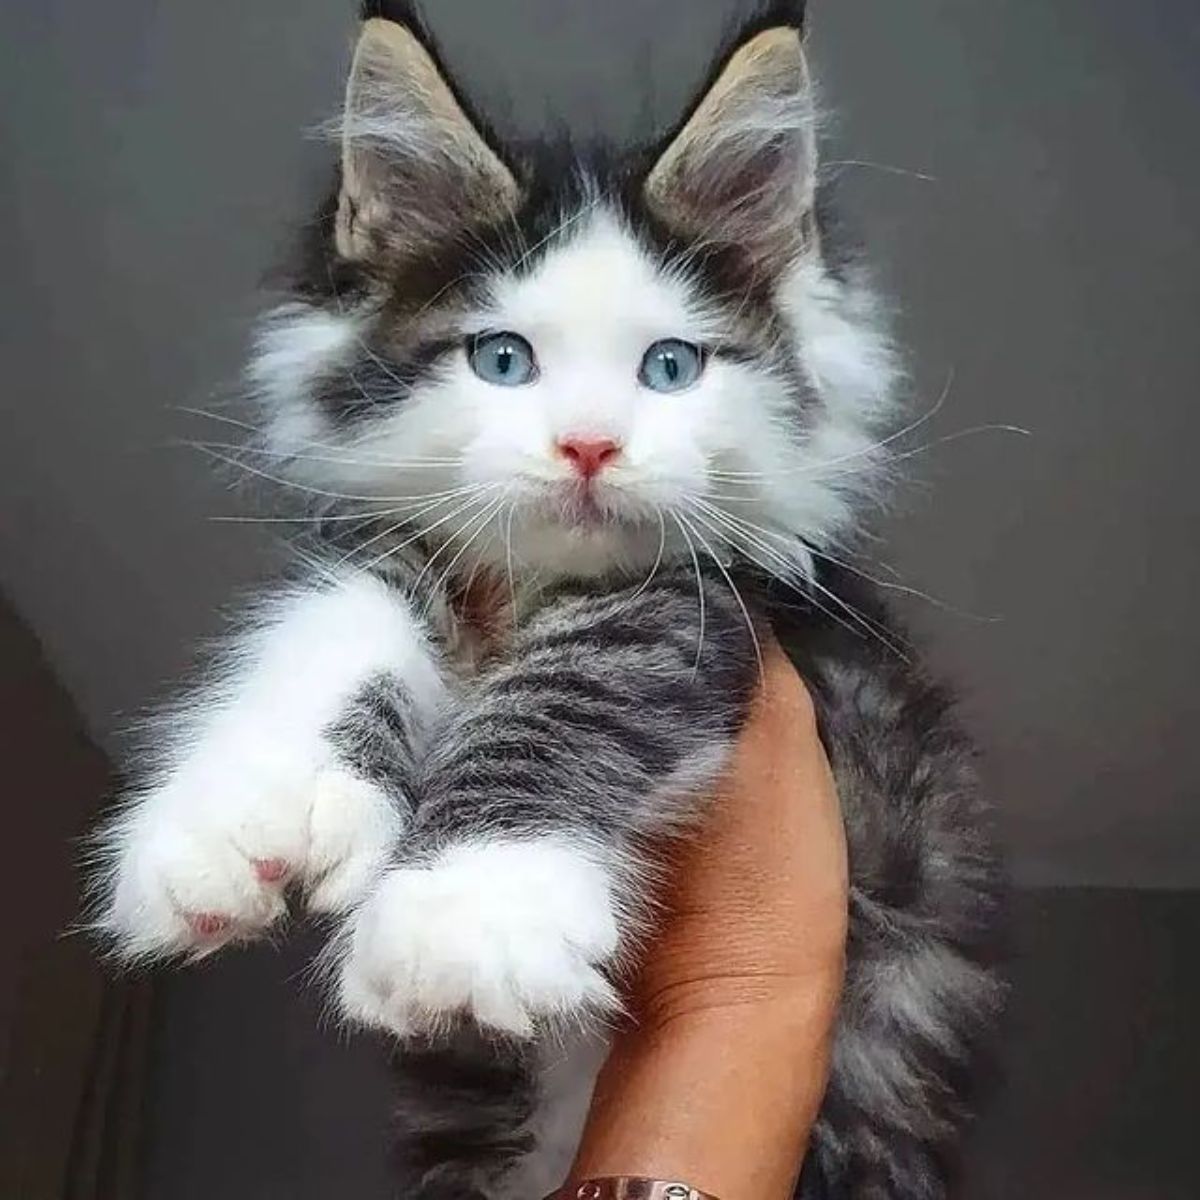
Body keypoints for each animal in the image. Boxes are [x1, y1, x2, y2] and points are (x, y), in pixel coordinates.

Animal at [96, 2, 1003, 1200]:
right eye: (502, 359)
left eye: (670, 367)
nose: (588, 445)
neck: (534, 585)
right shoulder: (411, 548)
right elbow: (340, 614)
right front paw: (236, 814)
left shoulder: (736, 613)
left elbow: (572, 687)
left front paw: (471, 904)